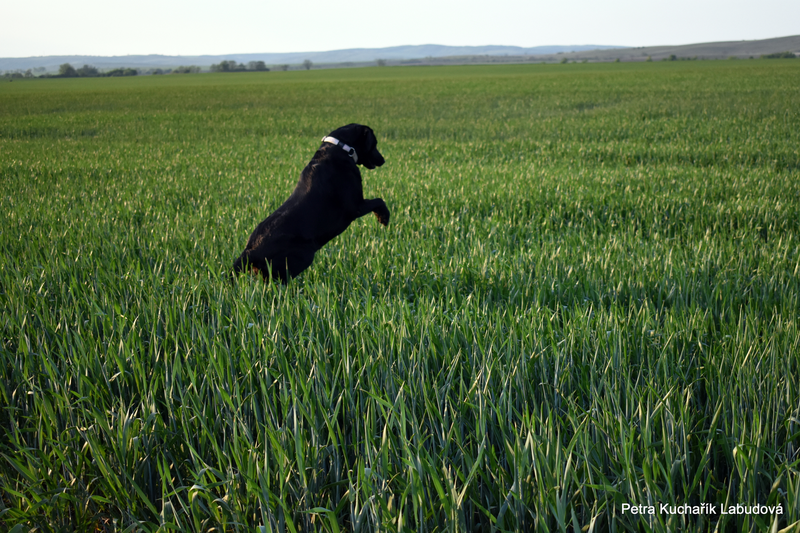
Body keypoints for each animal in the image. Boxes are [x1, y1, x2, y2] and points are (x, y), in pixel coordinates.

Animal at [231, 123, 390, 282]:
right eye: (375, 143)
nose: (383, 160)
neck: (341, 148)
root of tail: (250, 250)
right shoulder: (355, 206)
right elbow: (379, 201)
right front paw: (384, 217)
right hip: (302, 257)